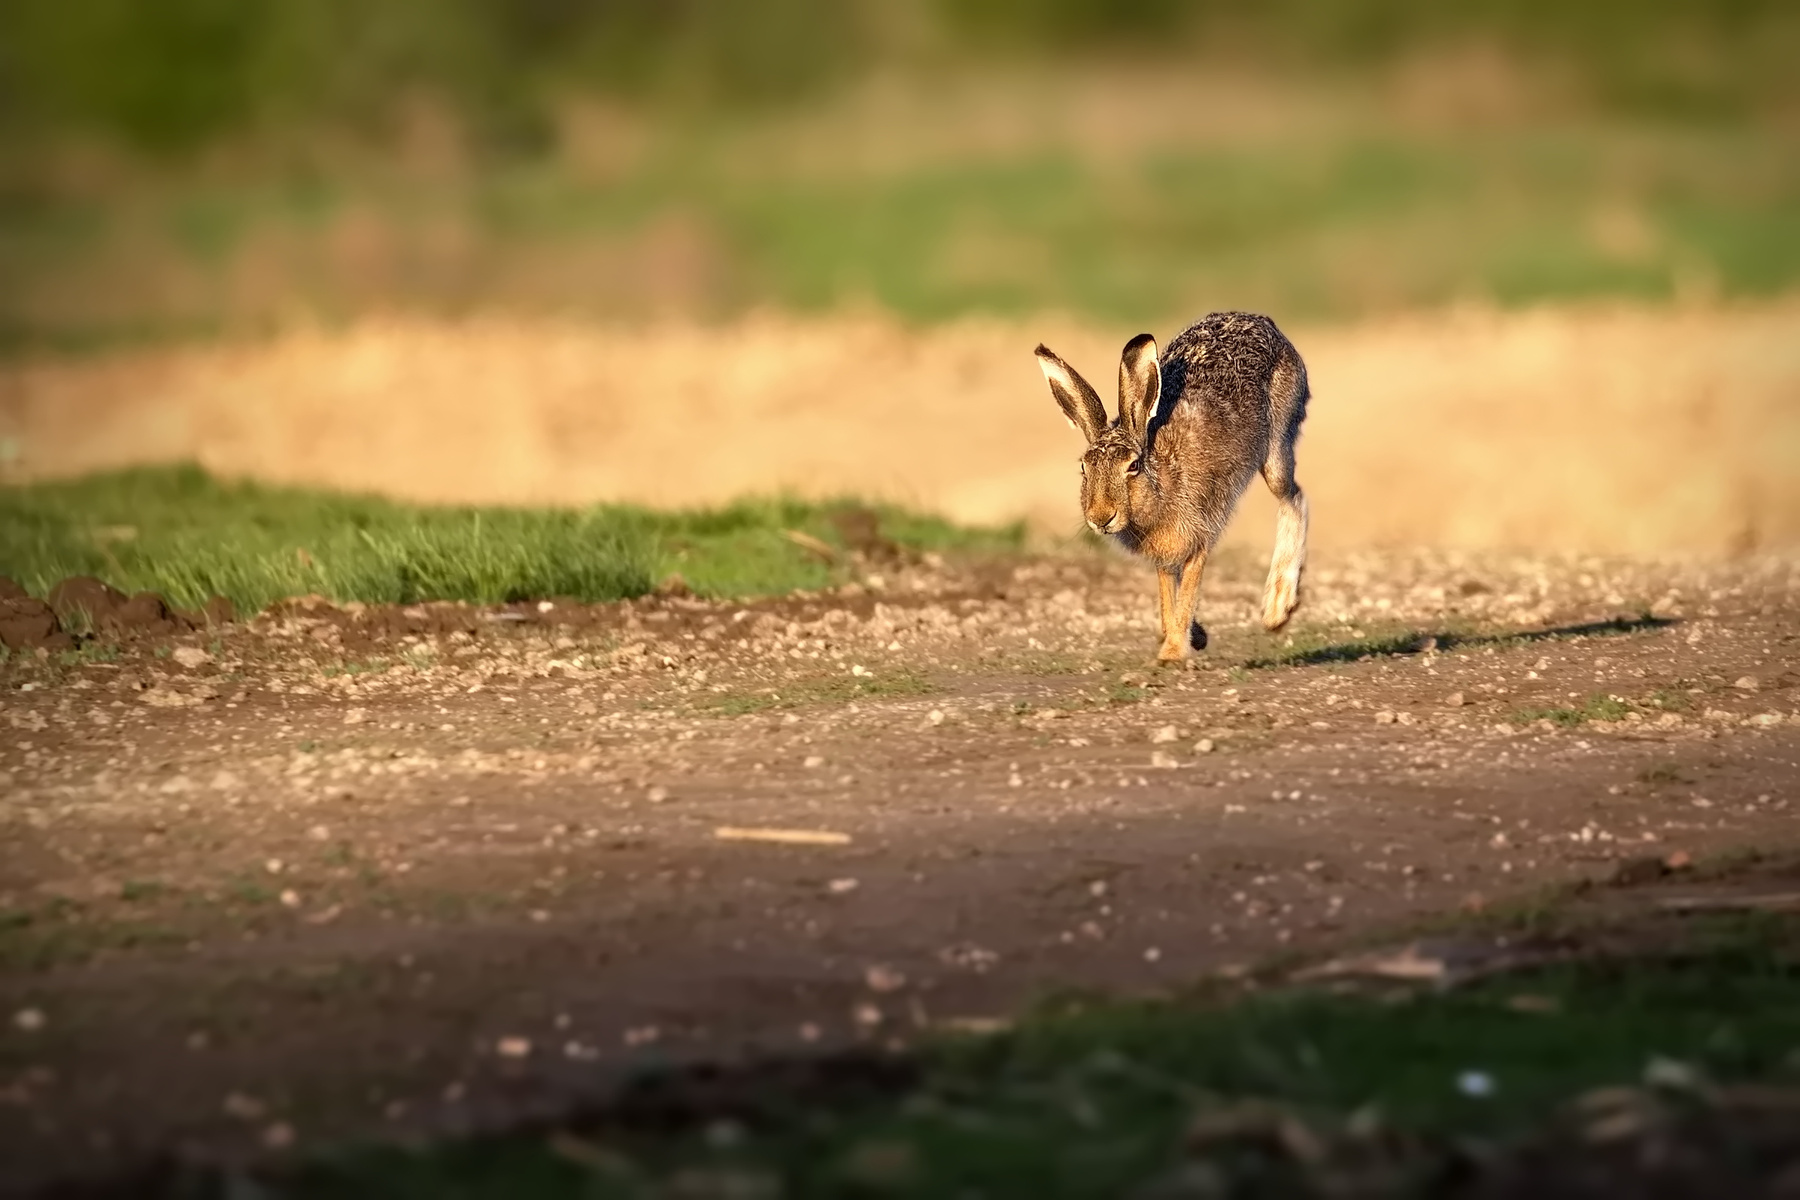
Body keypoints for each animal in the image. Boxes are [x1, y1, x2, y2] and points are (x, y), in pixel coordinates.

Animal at [1035, 311, 1310, 664]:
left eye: (1133, 466)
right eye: (1084, 468)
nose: (1101, 517)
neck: (1160, 483)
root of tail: (1264, 323)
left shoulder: (1199, 530)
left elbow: (1189, 585)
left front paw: (1173, 651)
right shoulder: (1164, 554)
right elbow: (1168, 588)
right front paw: (1188, 636)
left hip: (1275, 447)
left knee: (1294, 497)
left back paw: (1277, 608)